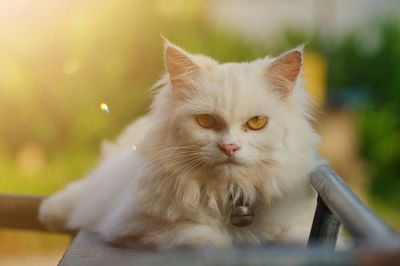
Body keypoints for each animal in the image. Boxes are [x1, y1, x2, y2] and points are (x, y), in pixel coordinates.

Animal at [39, 42, 318, 249]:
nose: (230, 147)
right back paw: (49, 213)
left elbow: (296, 237)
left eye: (257, 122)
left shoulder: (295, 222)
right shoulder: (134, 225)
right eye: (206, 121)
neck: (228, 196)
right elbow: (202, 238)